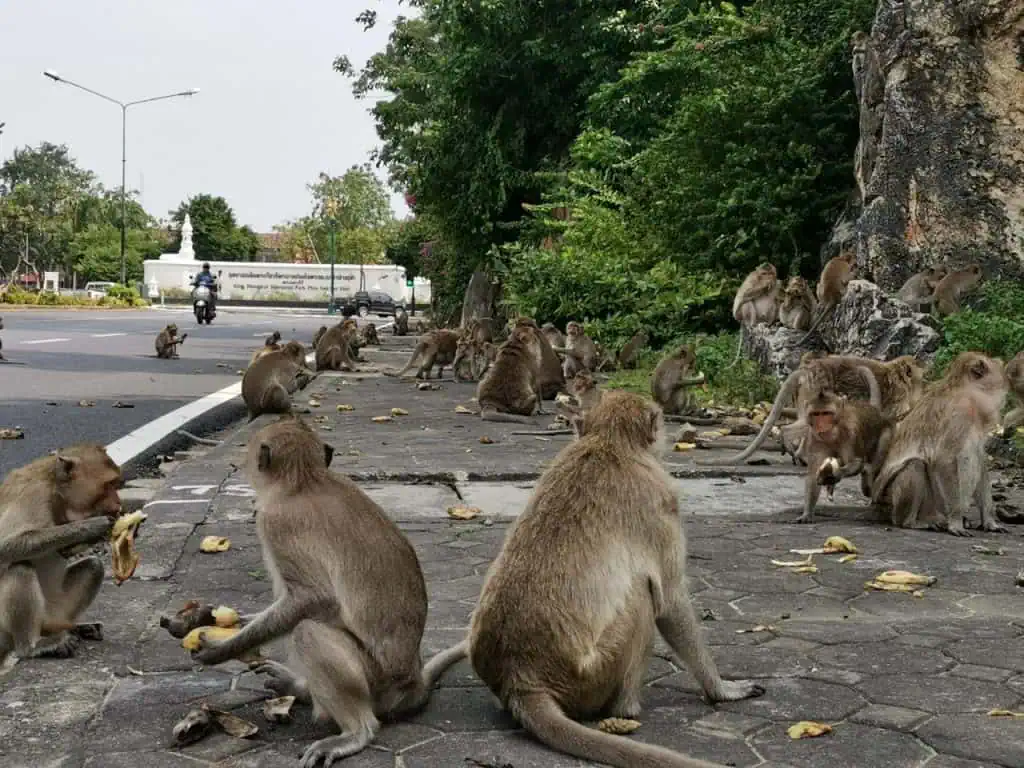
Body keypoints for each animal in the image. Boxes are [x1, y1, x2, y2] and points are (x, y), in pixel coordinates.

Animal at [0, 444, 123, 667]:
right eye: (109, 484)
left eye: (116, 483)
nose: (119, 504)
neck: (54, 490)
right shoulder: (33, 495)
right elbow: (6, 545)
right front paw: (91, 527)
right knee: (20, 567)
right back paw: (31, 646)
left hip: (53, 609)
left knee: (94, 565)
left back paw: (71, 628)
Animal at [191, 417, 460, 765]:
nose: (240, 464)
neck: (304, 481)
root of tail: (412, 681)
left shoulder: (276, 524)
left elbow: (314, 599)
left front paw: (221, 649)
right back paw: (301, 689)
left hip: (375, 681)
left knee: (308, 631)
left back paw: (355, 732)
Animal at [419, 393, 765, 765]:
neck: (608, 442)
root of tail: (520, 679)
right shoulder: (661, 502)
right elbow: (670, 601)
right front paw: (722, 689)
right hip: (592, 675)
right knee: (643, 596)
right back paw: (626, 709)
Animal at [790, 387, 888, 528]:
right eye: (816, 414)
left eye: (826, 413)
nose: (821, 425)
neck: (835, 432)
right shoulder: (814, 438)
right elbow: (813, 474)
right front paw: (807, 514)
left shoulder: (852, 432)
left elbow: (856, 461)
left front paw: (833, 474)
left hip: (886, 435)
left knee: (869, 481)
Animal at [872, 354, 1007, 536]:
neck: (967, 394)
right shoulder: (959, 414)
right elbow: (945, 460)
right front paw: (956, 522)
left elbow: (980, 459)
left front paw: (989, 521)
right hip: (890, 502)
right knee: (916, 465)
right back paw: (913, 522)